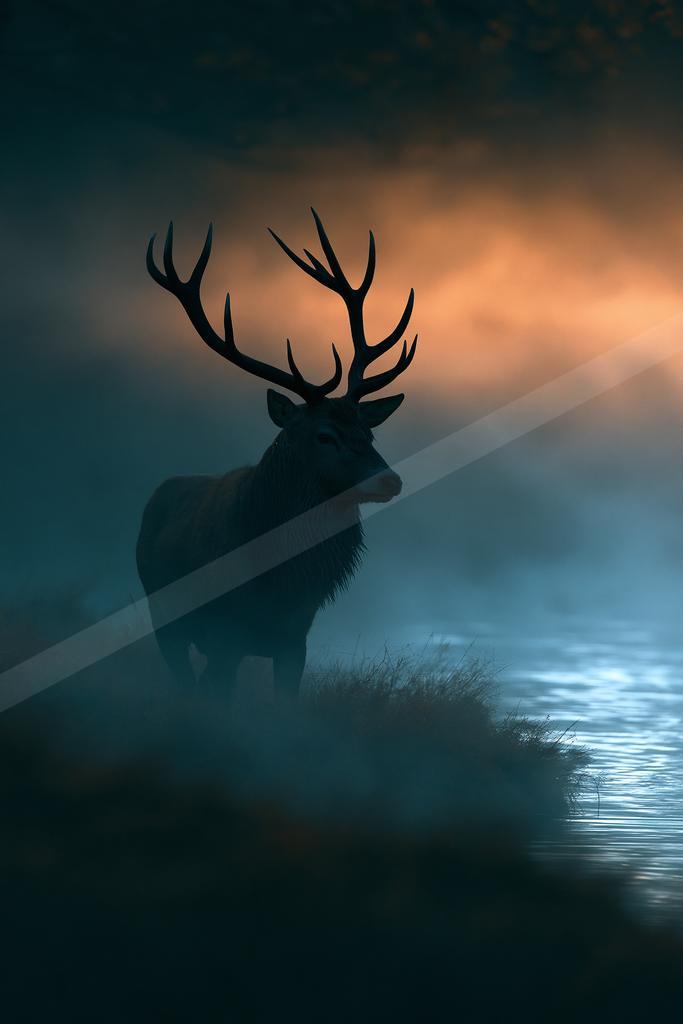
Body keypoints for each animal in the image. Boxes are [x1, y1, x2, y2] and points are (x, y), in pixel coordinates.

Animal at [137, 209, 417, 700]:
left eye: (368, 432)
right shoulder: (224, 636)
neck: (278, 583)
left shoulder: (294, 640)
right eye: (324, 436)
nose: (390, 480)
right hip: (162, 617)